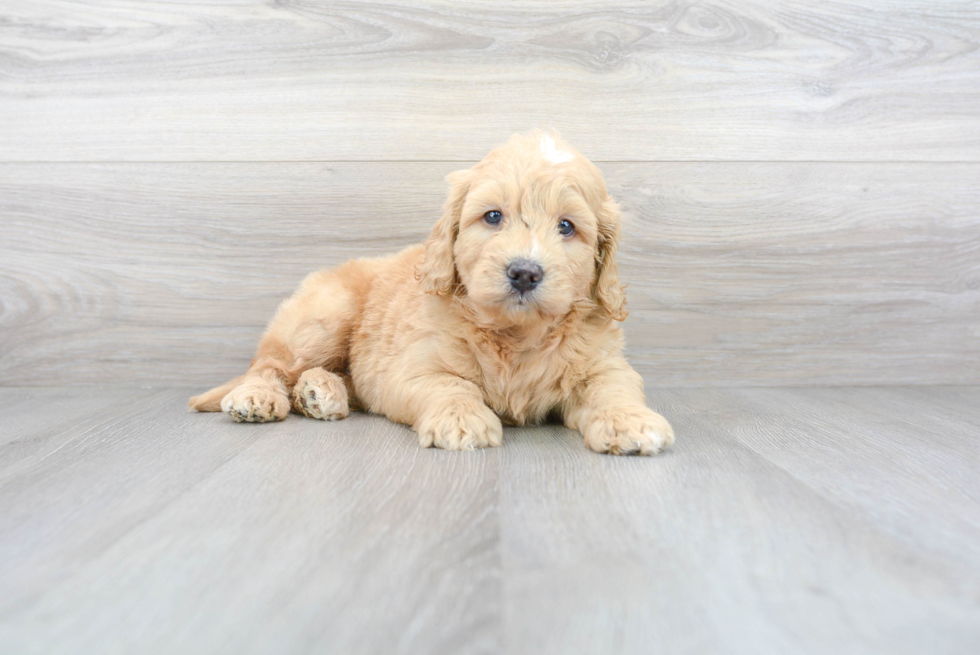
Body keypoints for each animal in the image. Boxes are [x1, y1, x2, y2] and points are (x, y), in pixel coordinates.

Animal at [189, 130, 672, 454]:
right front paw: (462, 421)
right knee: (268, 364)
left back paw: (320, 393)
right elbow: (450, 386)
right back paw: (260, 396)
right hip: (323, 316)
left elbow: (613, 388)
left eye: (567, 227)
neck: (515, 334)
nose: (524, 273)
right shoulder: (414, 367)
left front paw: (631, 422)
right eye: (492, 217)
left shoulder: (604, 364)